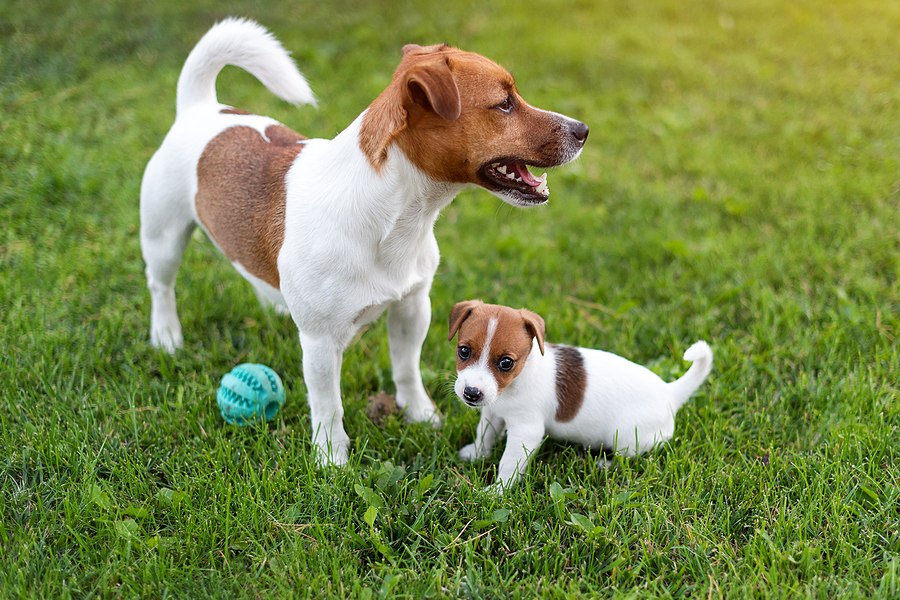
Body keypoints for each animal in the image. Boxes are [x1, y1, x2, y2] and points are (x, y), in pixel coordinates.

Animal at [139, 18, 592, 466]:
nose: (584, 130)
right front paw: (332, 456)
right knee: (161, 286)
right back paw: (166, 336)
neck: (396, 217)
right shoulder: (321, 343)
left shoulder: (413, 307)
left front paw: (419, 414)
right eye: (504, 104)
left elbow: (406, 369)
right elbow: (328, 404)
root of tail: (201, 108)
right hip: (163, 236)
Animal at [446, 300, 712, 492]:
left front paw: (497, 491)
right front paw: (476, 454)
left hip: (629, 437)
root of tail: (669, 392)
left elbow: (509, 463)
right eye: (463, 351)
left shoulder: (525, 431)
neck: (514, 385)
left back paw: (604, 464)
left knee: (627, 459)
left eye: (506, 363)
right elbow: (485, 434)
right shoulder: (492, 412)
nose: (471, 393)